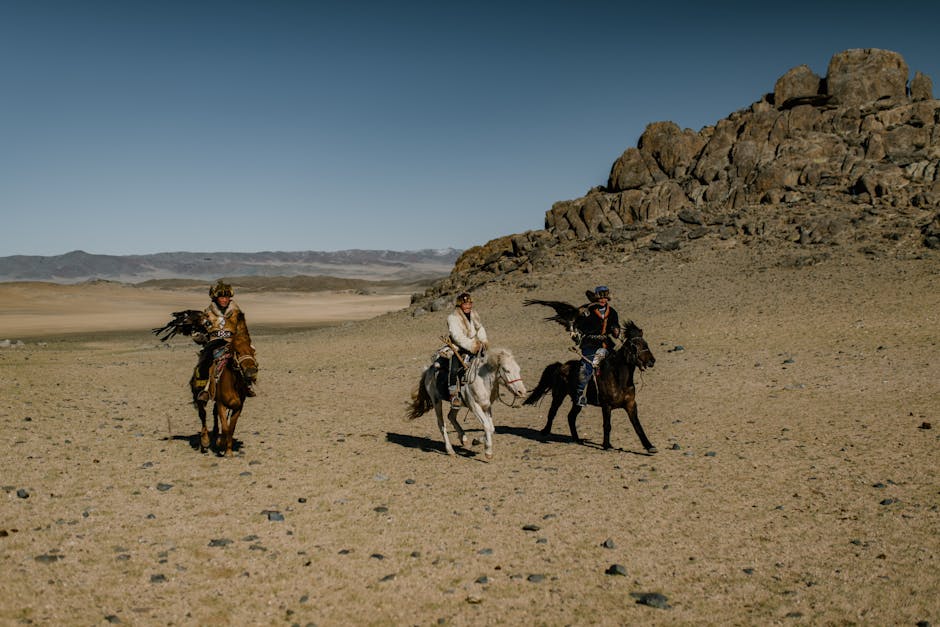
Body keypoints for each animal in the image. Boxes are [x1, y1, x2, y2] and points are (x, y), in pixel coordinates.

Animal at [524, 322, 656, 454]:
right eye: (634, 346)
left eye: (646, 344)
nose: (652, 361)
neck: (618, 378)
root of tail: (561, 365)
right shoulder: (606, 405)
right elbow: (607, 425)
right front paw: (607, 445)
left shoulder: (631, 404)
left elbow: (637, 426)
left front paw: (649, 446)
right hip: (559, 395)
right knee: (552, 412)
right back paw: (545, 431)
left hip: (577, 401)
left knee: (571, 417)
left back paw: (577, 439)